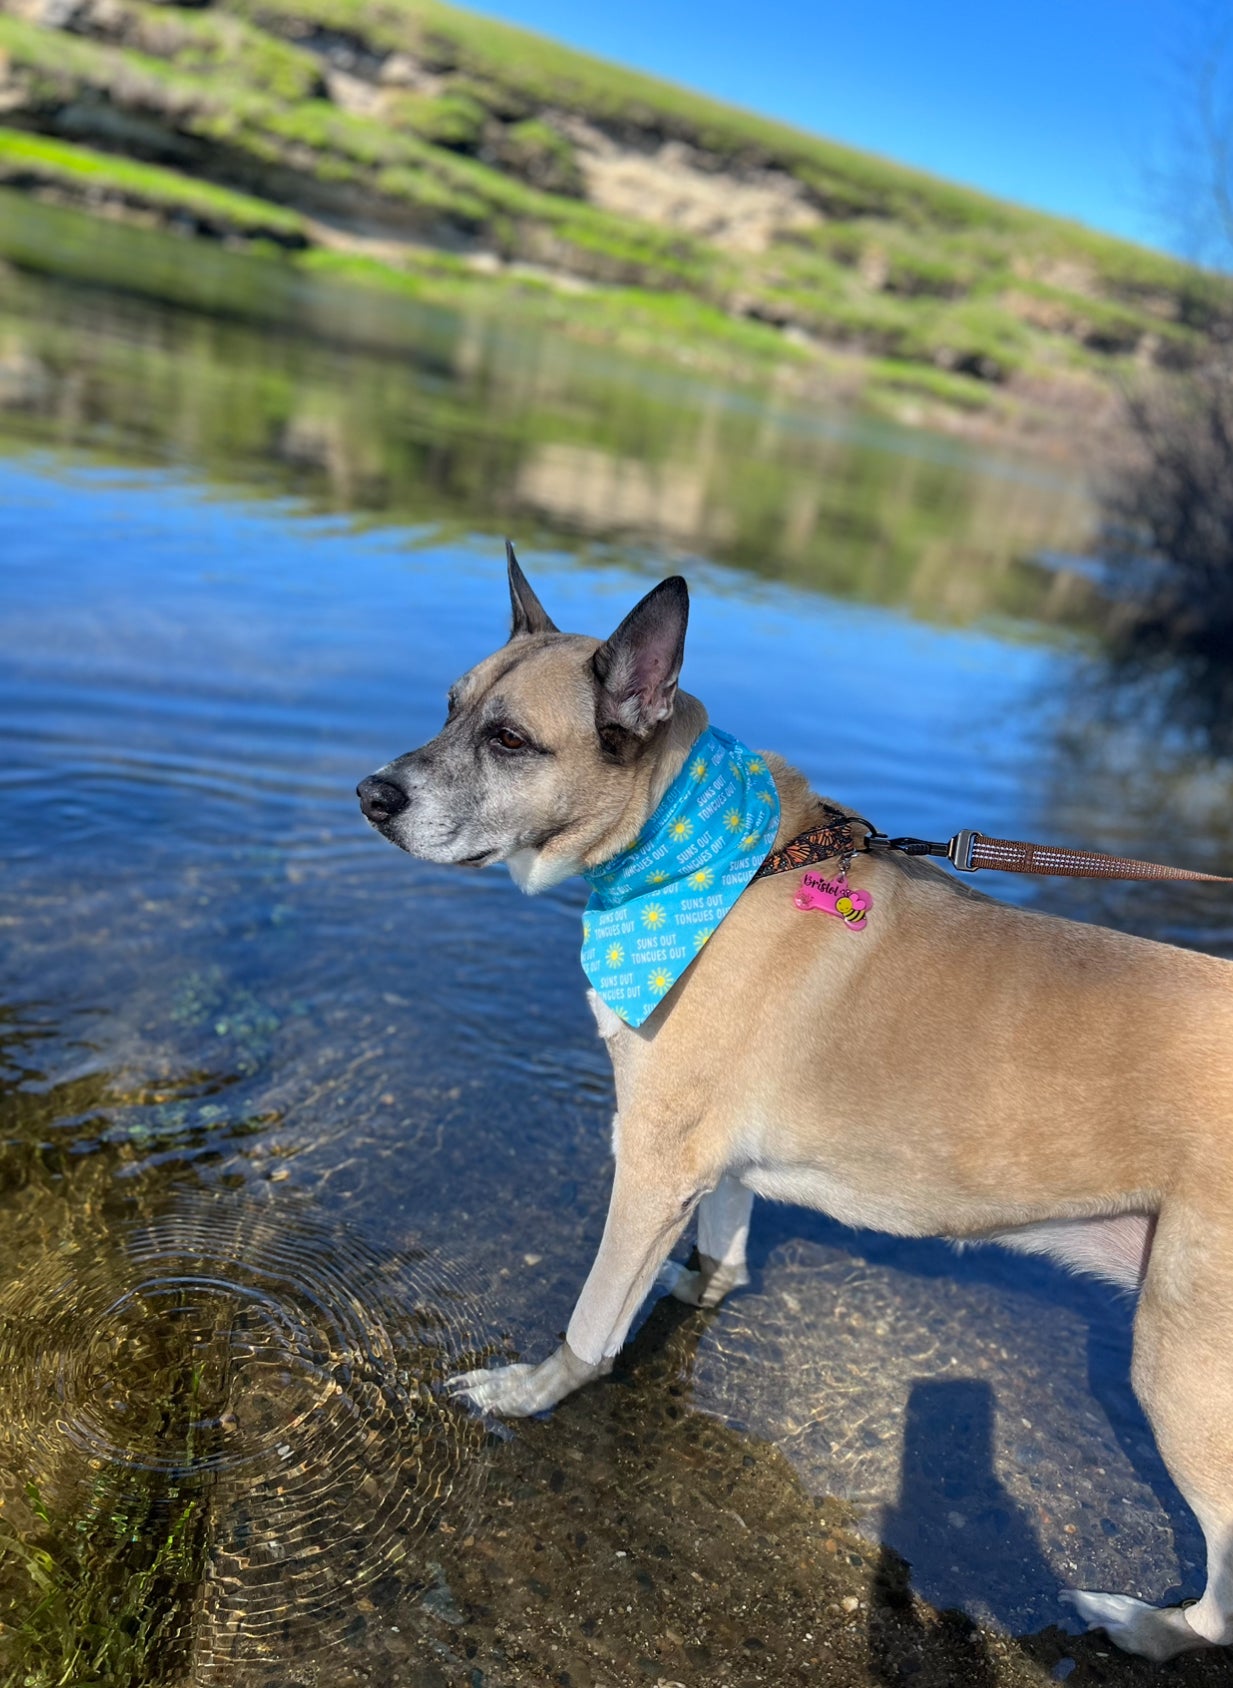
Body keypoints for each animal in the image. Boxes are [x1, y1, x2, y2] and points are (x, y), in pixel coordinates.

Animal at [354, 557, 1229, 1660]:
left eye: (509, 739)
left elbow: (592, 1325)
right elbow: (722, 1253)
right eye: (450, 706)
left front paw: (532, 1388)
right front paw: (689, 1282)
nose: (371, 795)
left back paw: (1144, 1625)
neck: (703, 861)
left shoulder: (653, 1159)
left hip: (1185, 1372)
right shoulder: (706, 1164)